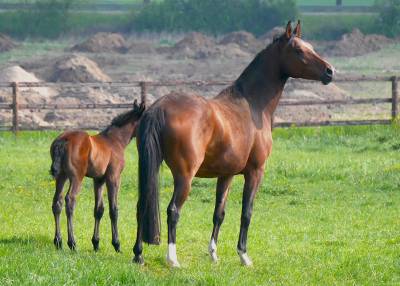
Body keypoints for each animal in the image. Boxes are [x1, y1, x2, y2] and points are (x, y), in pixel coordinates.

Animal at [49, 100, 145, 252]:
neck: (115, 140)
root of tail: (63, 140)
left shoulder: (98, 180)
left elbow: (98, 210)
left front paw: (96, 243)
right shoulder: (114, 177)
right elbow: (113, 209)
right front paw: (117, 244)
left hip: (61, 176)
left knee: (57, 202)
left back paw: (58, 241)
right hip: (76, 177)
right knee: (70, 201)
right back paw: (72, 243)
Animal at [134, 21, 334, 268]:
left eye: (310, 47)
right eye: (298, 50)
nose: (329, 71)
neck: (252, 104)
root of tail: (159, 108)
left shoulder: (226, 174)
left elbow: (219, 213)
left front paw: (213, 254)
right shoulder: (255, 172)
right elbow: (246, 213)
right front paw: (244, 255)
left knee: (142, 206)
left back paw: (138, 255)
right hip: (185, 176)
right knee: (173, 211)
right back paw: (173, 259)